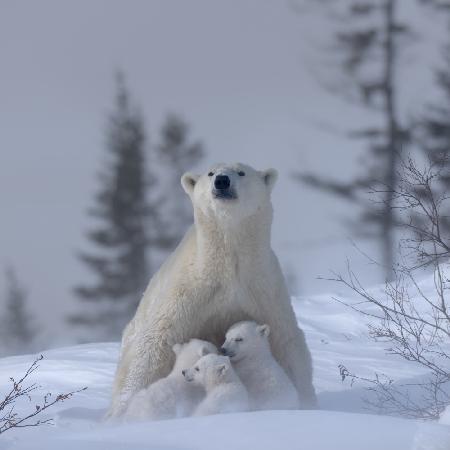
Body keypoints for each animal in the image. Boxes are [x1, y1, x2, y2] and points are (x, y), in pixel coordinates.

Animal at [107, 163, 316, 418]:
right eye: (210, 173)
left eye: (241, 172)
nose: (222, 181)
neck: (227, 264)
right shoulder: (188, 291)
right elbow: (153, 345)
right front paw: (119, 413)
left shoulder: (262, 287)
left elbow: (287, 342)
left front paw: (308, 403)